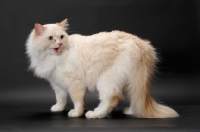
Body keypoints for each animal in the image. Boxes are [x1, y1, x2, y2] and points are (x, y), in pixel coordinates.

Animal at [25, 18, 179, 118]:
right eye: (51, 38)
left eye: (61, 37)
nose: (59, 43)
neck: (52, 58)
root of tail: (142, 45)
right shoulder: (57, 83)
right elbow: (61, 98)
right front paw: (58, 108)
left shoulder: (74, 83)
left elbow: (77, 100)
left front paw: (76, 113)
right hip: (131, 82)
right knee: (135, 97)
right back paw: (131, 111)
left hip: (107, 80)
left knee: (111, 98)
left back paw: (94, 114)